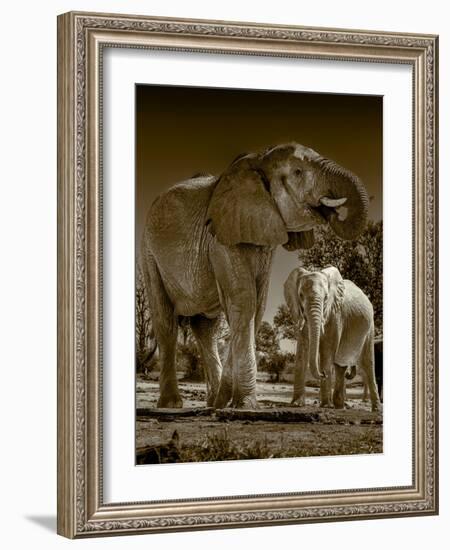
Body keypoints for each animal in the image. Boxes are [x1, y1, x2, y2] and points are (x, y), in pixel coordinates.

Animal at [141, 142, 370, 410]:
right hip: (149, 253)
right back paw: (172, 404)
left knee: (206, 329)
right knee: (165, 321)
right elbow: (245, 300)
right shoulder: (221, 237)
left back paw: (212, 402)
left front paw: (229, 402)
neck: (258, 161)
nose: (331, 211)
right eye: (298, 172)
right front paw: (245, 404)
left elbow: (257, 304)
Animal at [284, 268, 380, 414]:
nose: (322, 374)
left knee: (367, 363)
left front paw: (325, 405)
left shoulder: (336, 314)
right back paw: (340, 406)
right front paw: (296, 404)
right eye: (300, 295)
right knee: (340, 365)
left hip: (370, 327)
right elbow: (302, 347)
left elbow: (327, 350)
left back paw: (376, 409)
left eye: (326, 297)